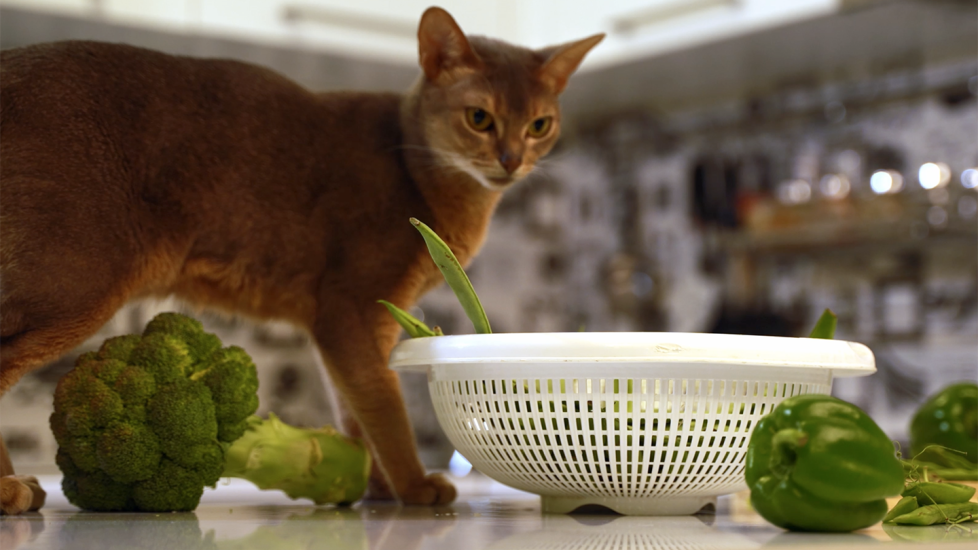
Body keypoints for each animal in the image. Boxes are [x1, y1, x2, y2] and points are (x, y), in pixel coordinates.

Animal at [0, 6, 604, 516]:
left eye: (539, 126)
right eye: (479, 117)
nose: (511, 160)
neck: (422, 174)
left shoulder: (356, 324)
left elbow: (355, 407)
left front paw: (374, 486)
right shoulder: (350, 306)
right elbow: (386, 406)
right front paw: (414, 487)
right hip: (80, 278)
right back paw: (9, 490)